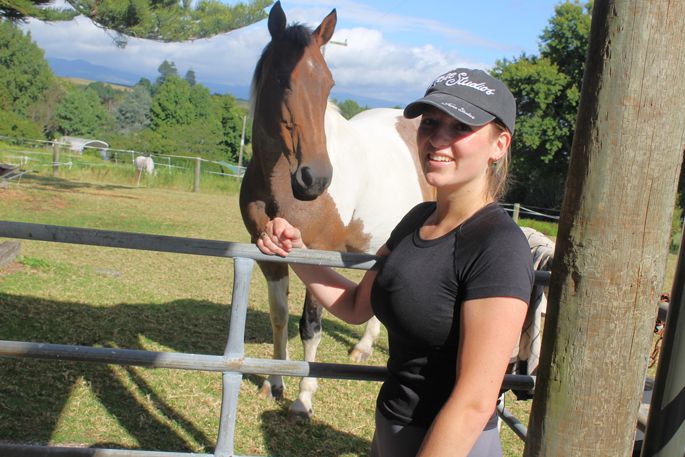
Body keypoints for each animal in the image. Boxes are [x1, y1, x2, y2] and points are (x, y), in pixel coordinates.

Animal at [240, 0, 430, 420]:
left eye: (328, 84)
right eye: (282, 79)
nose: (316, 178)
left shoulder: (320, 255)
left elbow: (311, 327)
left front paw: (303, 398)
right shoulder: (266, 251)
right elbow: (279, 316)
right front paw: (273, 382)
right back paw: (362, 347)